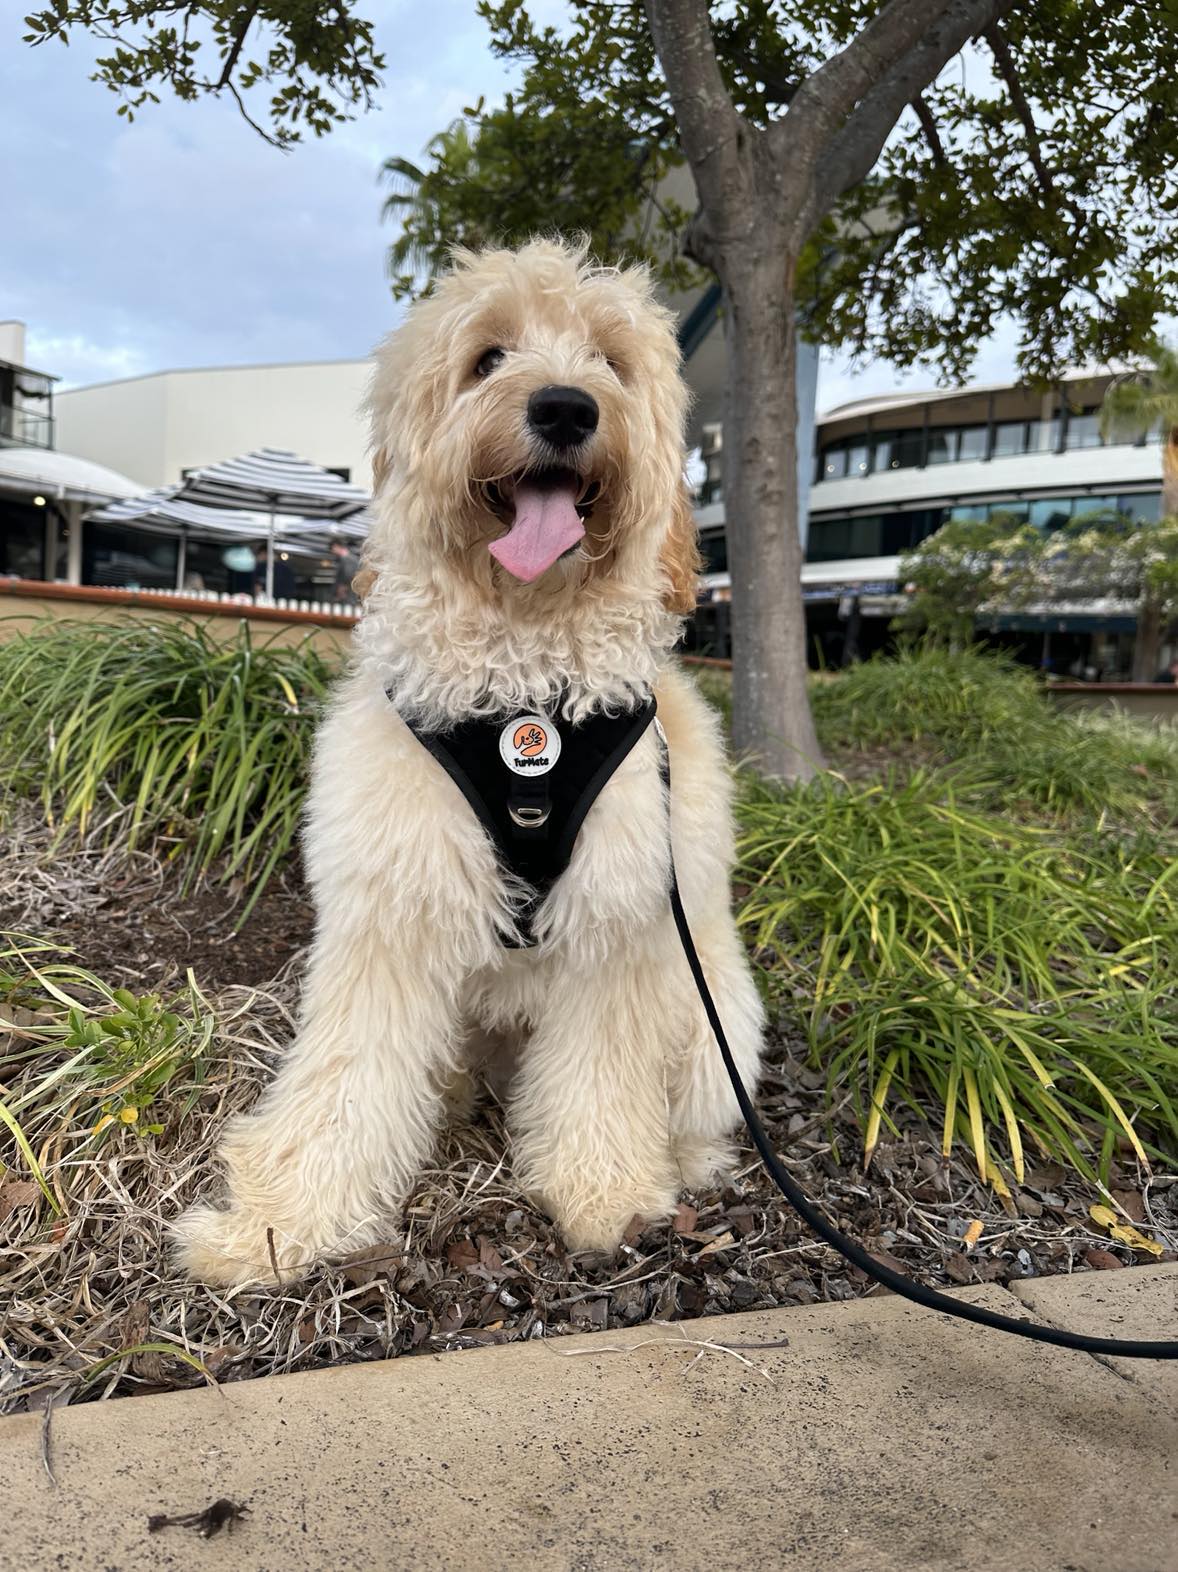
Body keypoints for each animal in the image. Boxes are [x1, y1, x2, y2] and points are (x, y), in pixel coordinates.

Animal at [172, 238, 764, 1282]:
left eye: (611, 362)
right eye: (488, 357)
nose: (566, 407)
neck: (525, 697)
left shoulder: (620, 928)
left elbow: (602, 1077)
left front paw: (604, 1195)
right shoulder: (390, 914)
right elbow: (347, 1080)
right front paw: (280, 1225)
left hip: (716, 1013)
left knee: (694, 1100)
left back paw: (685, 1164)